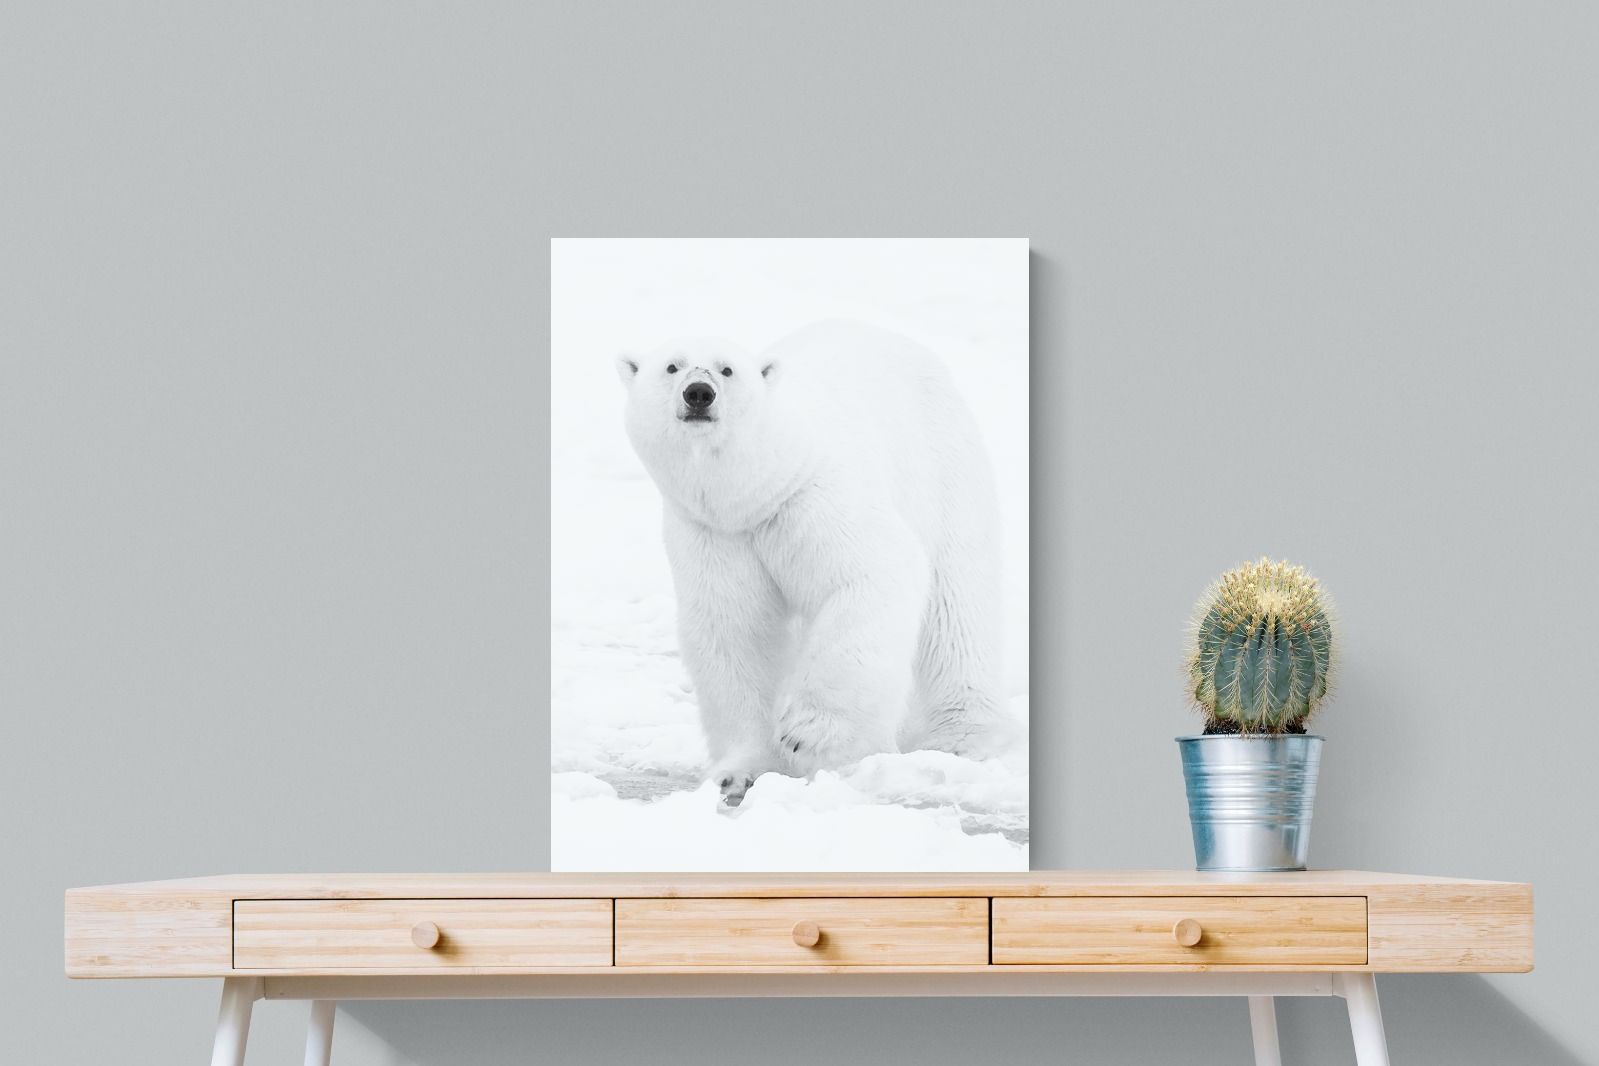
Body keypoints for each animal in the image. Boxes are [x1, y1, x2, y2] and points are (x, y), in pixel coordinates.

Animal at [616, 320, 1004, 806]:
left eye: (727, 369)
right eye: (672, 366)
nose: (699, 394)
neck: (758, 492)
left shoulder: (813, 497)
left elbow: (871, 572)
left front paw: (809, 734)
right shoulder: (715, 533)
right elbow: (734, 629)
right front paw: (739, 772)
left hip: (943, 467)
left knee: (956, 603)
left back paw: (958, 737)